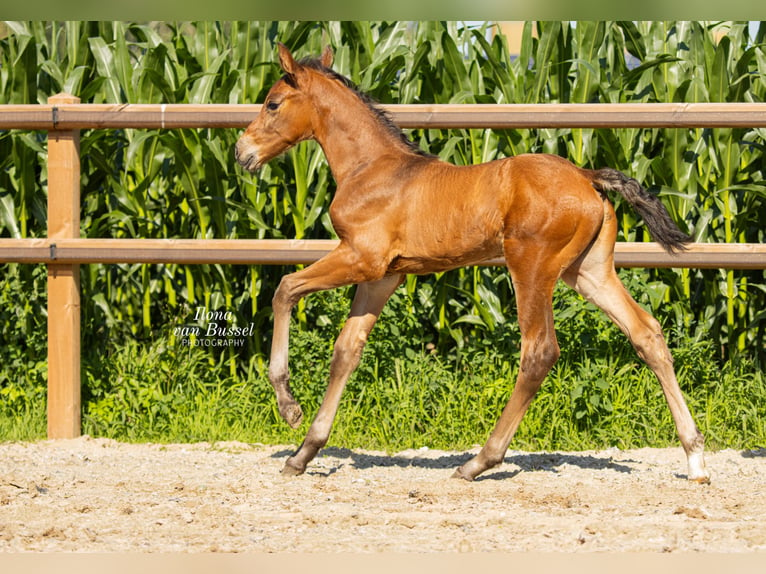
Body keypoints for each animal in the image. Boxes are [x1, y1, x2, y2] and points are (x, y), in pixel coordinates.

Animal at [236, 46, 712, 486]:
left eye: (273, 103)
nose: (242, 152)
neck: (373, 170)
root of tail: (586, 176)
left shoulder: (360, 258)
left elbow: (285, 288)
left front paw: (289, 407)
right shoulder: (384, 276)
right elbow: (346, 351)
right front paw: (303, 453)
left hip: (532, 268)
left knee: (539, 351)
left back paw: (478, 462)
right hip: (589, 272)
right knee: (646, 333)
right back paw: (695, 459)